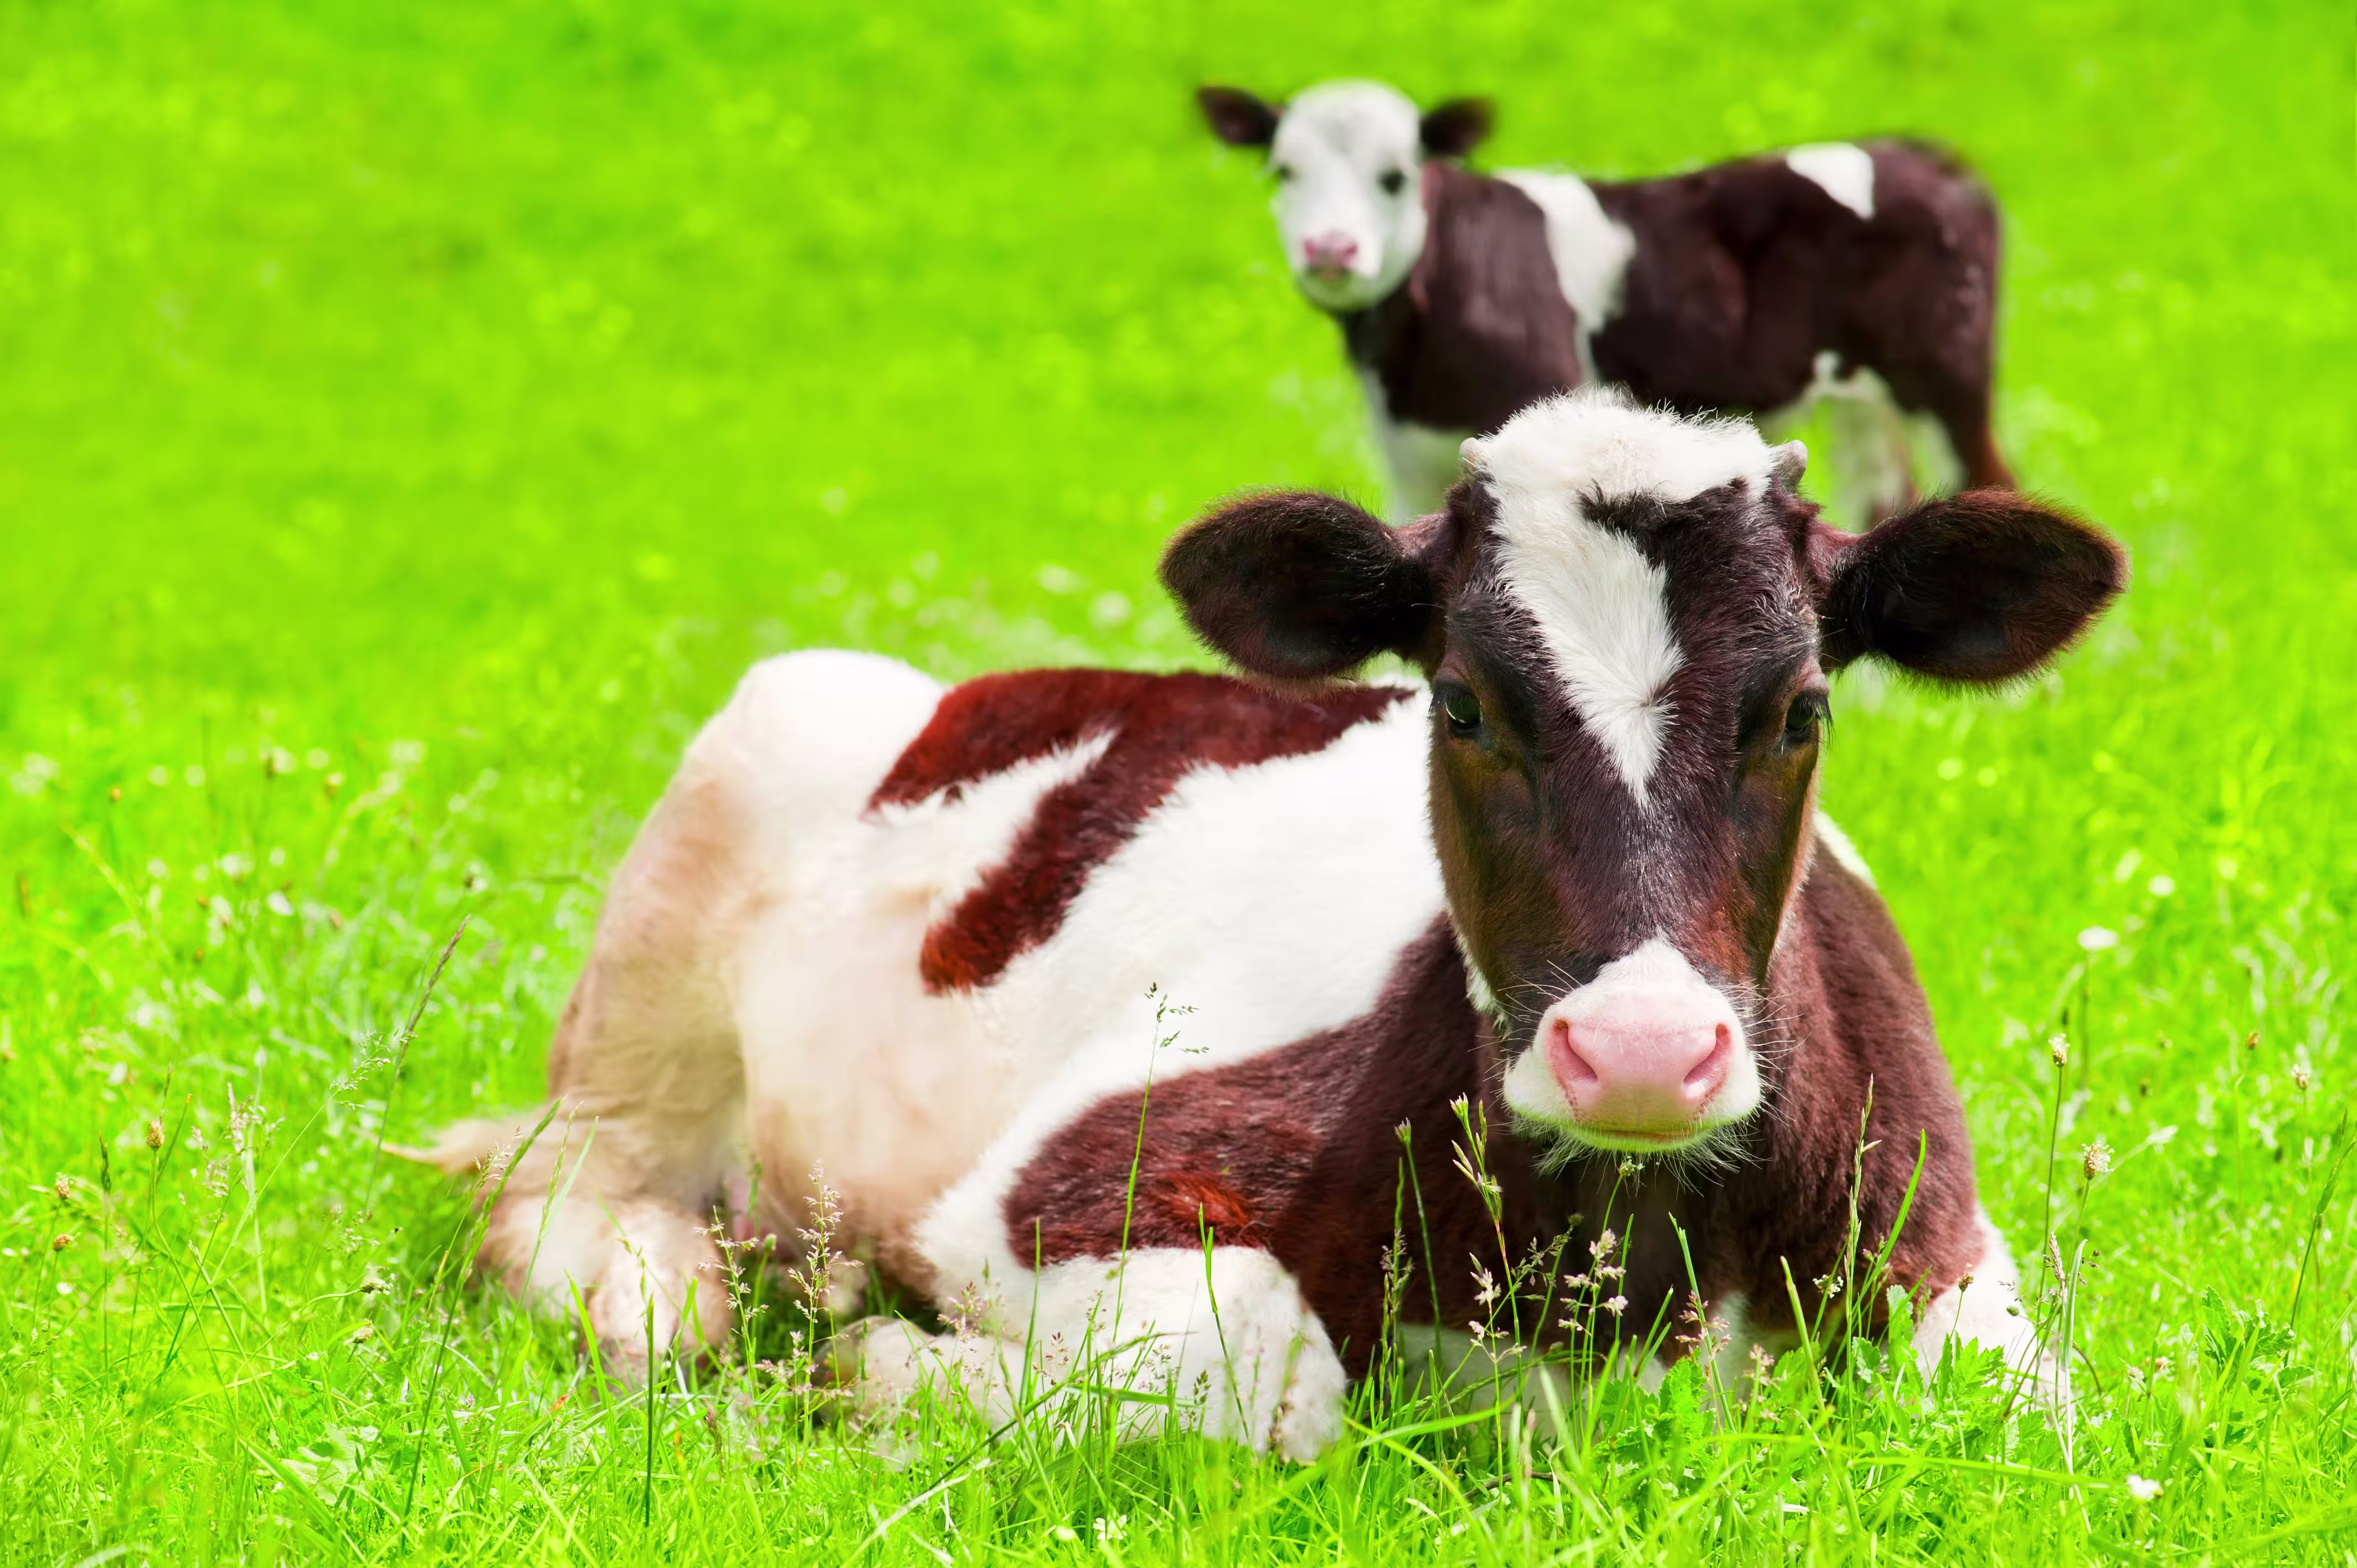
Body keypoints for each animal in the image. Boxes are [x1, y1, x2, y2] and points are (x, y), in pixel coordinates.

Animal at [421, 392, 2123, 1459]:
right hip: (712, 844)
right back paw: (666, 1289)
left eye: (1800, 709)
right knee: (558, 1174)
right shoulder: (1053, 1191)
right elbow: (1271, 1378)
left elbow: (2011, 1407)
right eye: (1462, 703)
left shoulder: (1938, 1244)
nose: (1641, 1051)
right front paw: (882, 1367)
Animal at [1197, 80, 2014, 527]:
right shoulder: (1406, 455)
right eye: (1283, 170)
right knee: (1883, 499)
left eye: (1396, 175)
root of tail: (1925, 153)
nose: (1330, 250)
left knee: (1989, 482)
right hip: (1858, 399)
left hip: (1943, 375)